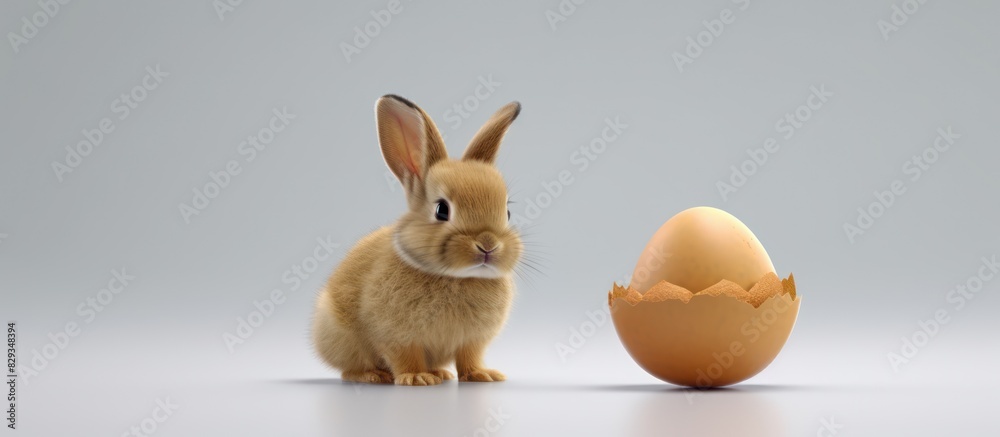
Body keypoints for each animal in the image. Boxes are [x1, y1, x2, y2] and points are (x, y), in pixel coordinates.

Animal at [311, 94, 524, 386]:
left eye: (507, 212)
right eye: (442, 210)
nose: (488, 245)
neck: (458, 277)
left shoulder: (472, 341)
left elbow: (469, 357)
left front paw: (482, 375)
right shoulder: (396, 336)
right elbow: (405, 356)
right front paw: (415, 378)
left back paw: (440, 373)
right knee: (349, 368)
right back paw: (374, 376)